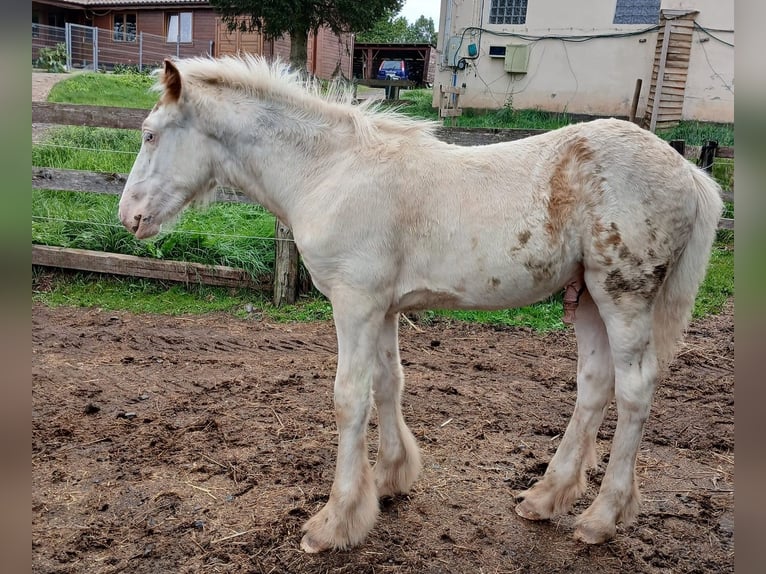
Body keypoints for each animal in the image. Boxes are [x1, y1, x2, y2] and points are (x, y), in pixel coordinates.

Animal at [118, 57, 728, 552]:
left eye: (149, 135)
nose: (129, 217)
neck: (330, 171)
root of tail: (689, 172)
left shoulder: (355, 302)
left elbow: (349, 399)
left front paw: (334, 522)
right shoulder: (384, 306)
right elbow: (389, 383)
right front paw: (389, 481)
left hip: (622, 294)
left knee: (634, 390)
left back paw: (601, 517)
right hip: (587, 299)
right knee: (595, 384)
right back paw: (544, 498)